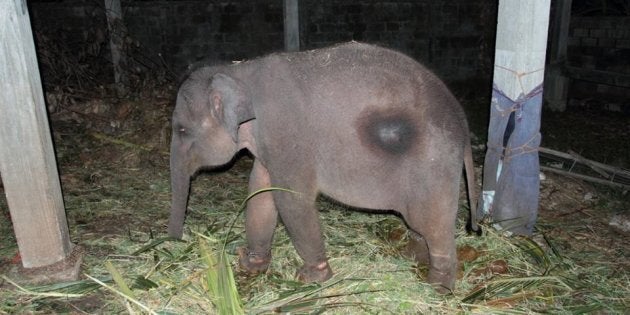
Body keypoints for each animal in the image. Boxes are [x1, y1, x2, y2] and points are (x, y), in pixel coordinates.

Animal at [169, 42, 478, 294]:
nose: (175, 240)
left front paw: (311, 279)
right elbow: (260, 191)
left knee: (432, 222)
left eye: (181, 130)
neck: (237, 70)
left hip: (432, 164)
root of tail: (463, 124)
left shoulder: (287, 134)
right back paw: (411, 257)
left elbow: (290, 200)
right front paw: (250, 264)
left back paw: (436, 289)